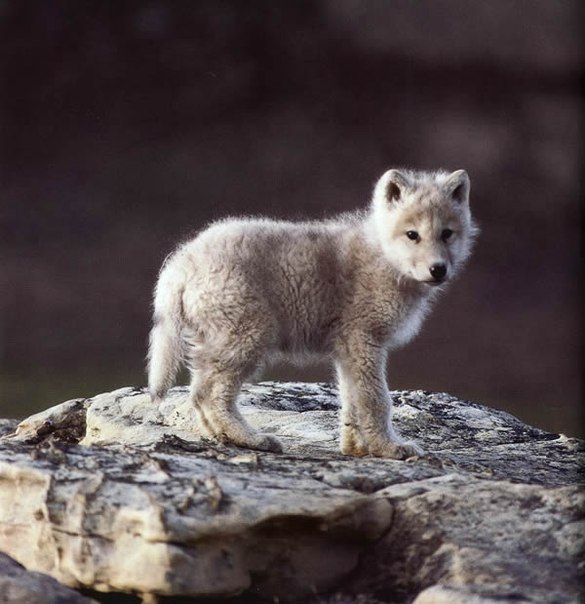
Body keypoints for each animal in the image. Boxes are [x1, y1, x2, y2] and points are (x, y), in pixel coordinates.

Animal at [146, 168, 474, 460]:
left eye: (446, 234)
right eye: (412, 235)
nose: (438, 269)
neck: (382, 256)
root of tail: (183, 261)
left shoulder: (348, 351)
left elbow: (351, 402)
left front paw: (356, 448)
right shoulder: (364, 341)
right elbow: (376, 400)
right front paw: (389, 448)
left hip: (222, 342)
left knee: (199, 393)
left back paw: (224, 437)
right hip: (248, 338)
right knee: (211, 395)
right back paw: (252, 439)